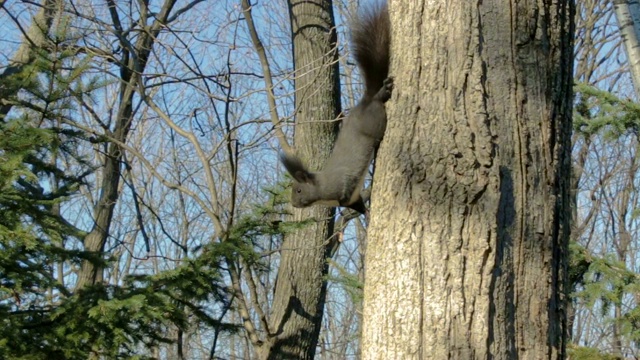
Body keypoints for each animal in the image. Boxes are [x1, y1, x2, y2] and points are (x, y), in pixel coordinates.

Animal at [280, 2, 390, 215]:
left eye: (299, 190)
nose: (294, 204)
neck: (322, 192)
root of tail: (365, 102)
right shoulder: (351, 201)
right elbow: (357, 205)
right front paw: (368, 214)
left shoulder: (340, 186)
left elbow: (346, 188)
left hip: (375, 121)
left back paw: (383, 93)